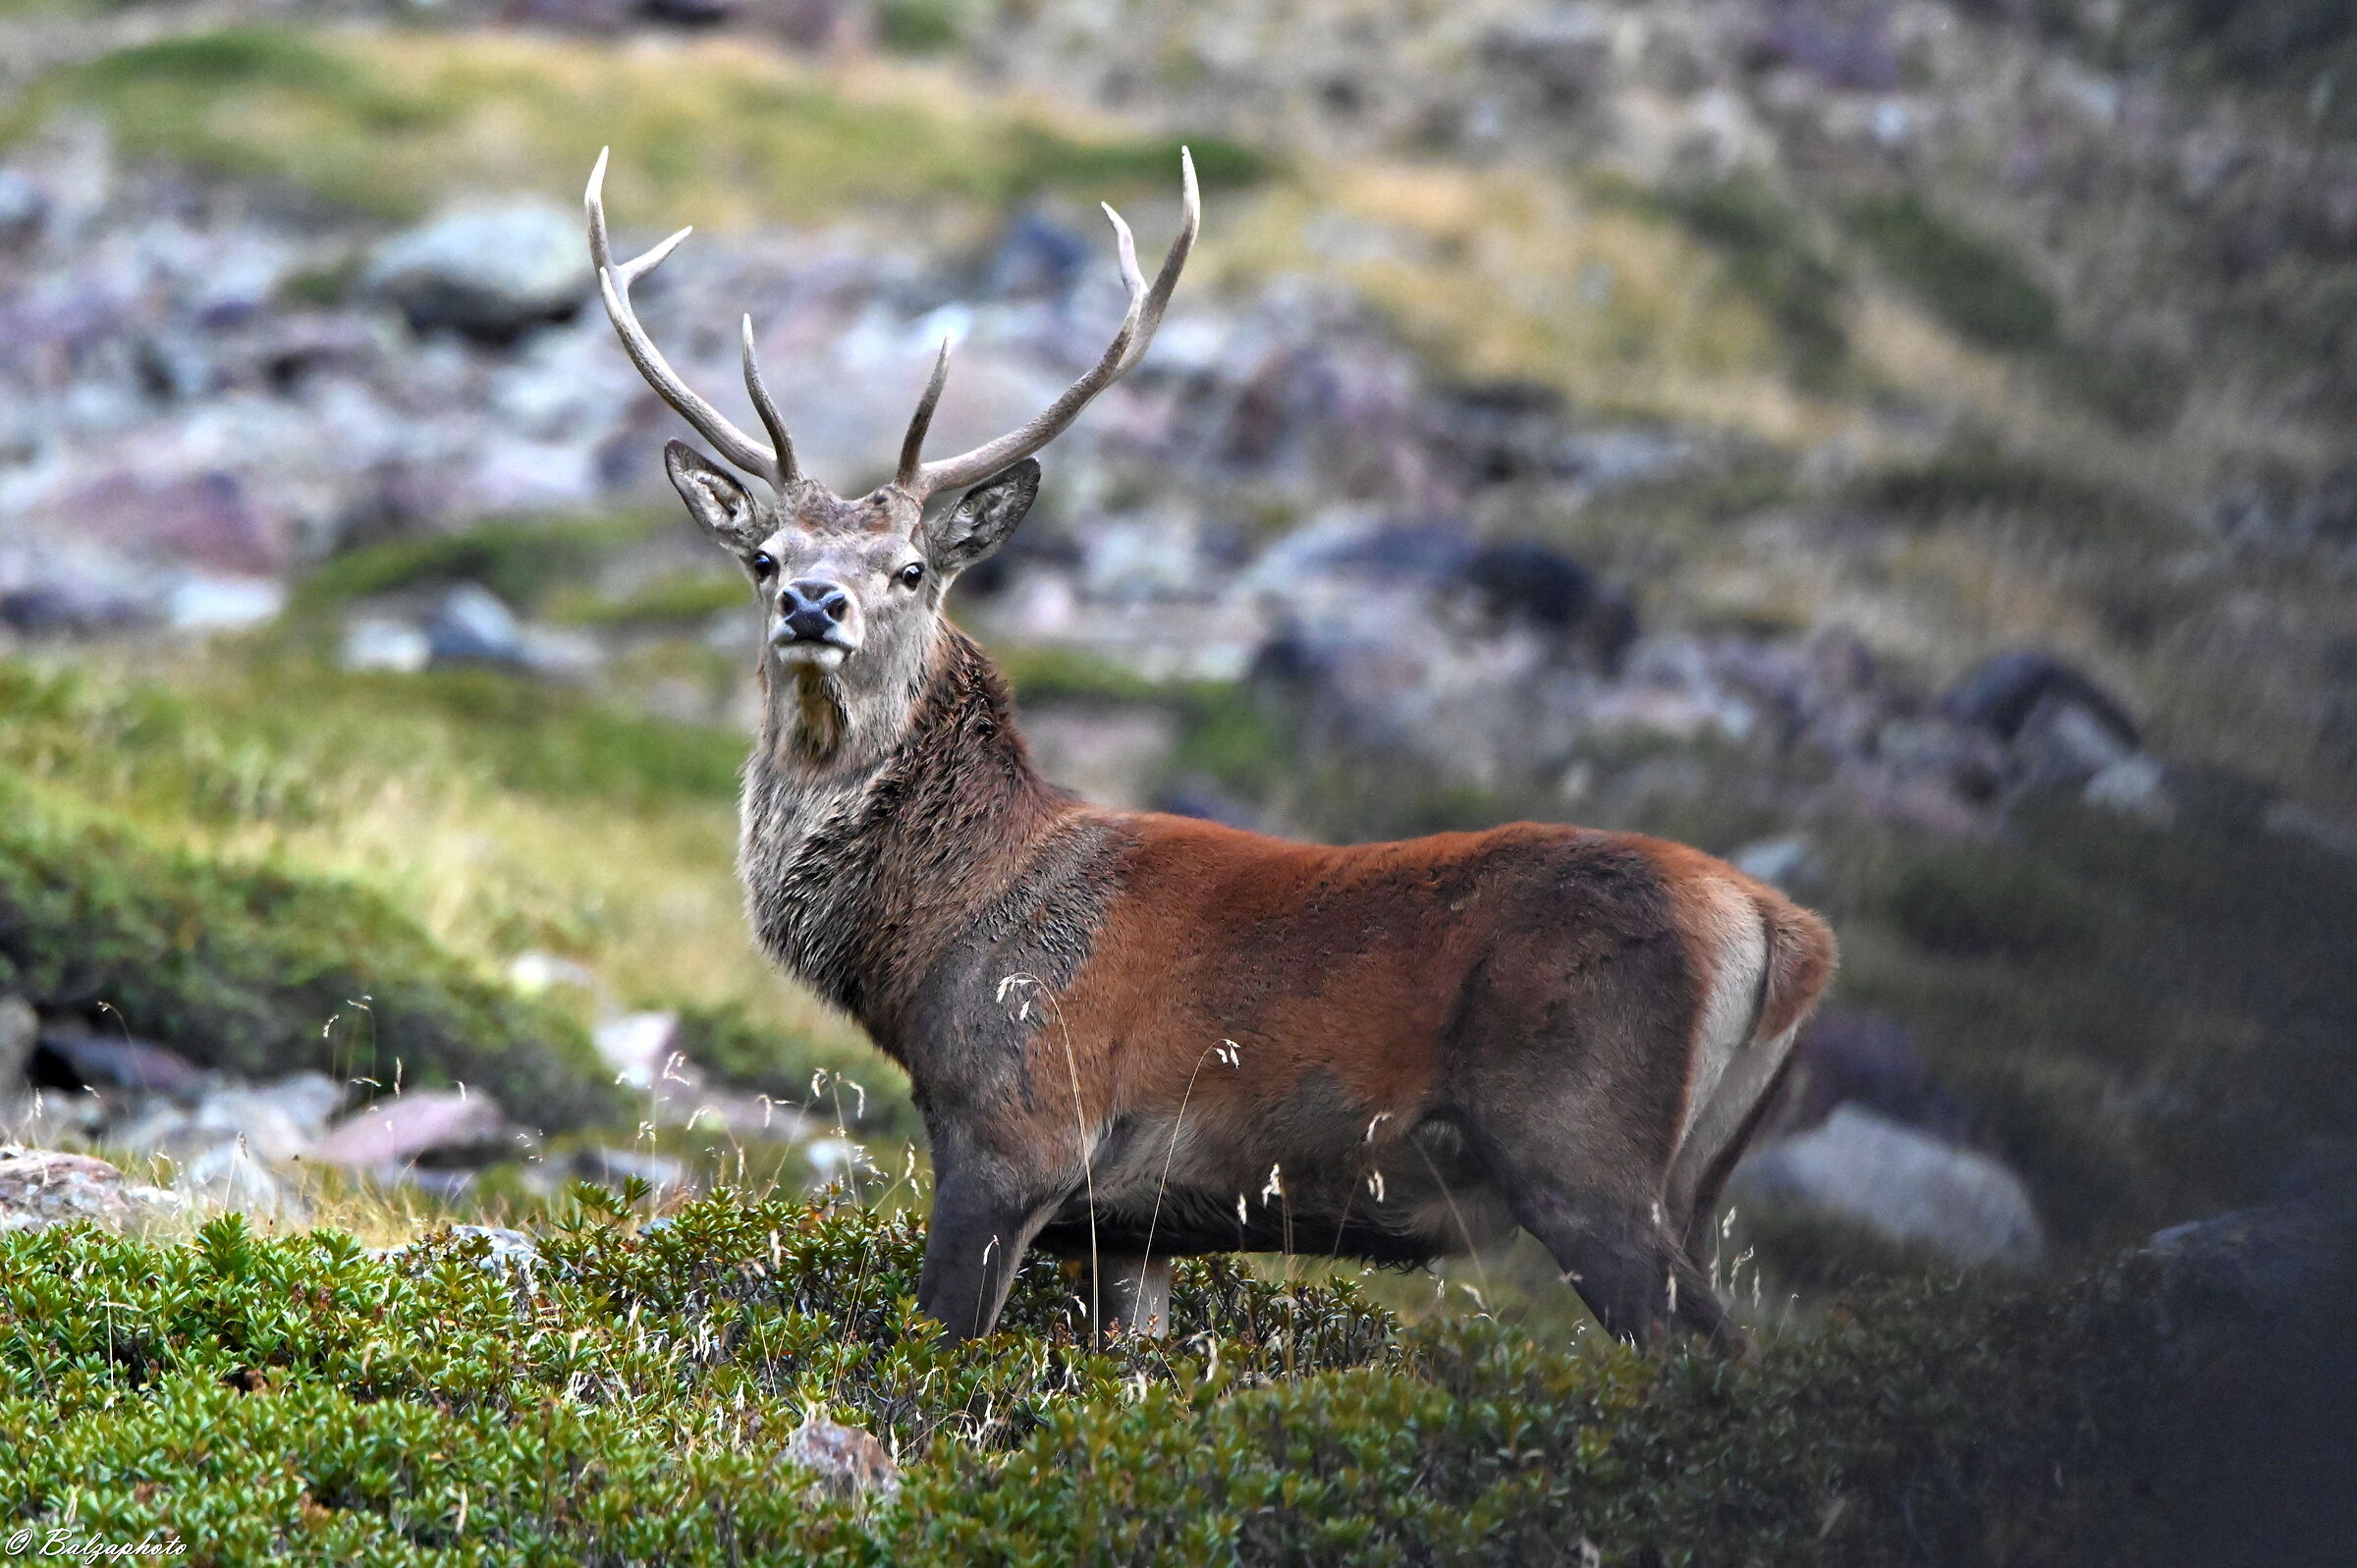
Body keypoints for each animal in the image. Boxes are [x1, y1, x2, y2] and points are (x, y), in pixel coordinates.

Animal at [585, 148, 1836, 1351]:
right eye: (764, 558)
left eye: (912, 568)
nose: (813, 604)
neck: (932, 943)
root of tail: (1784, 931)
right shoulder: (1134, 1226)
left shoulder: (1017, 1133)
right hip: (1689, 1182)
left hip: (1583, 1148)